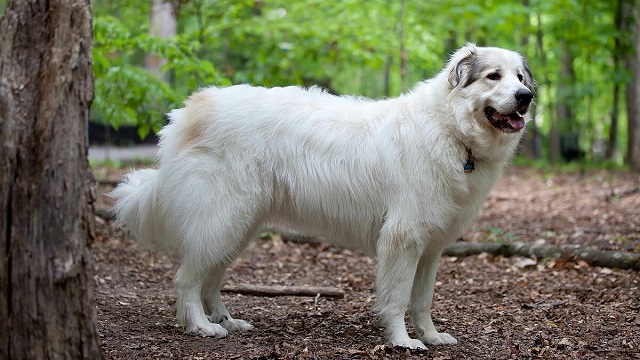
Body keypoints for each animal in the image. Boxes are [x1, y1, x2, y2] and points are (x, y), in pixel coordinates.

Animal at [111, 43, 536, 348]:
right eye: (493, 76)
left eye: (519, 77)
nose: (526, 96)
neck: (452, 130)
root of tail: (190, 110)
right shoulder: (403, 239)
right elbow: (398, 298)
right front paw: (403, 342)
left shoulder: (429, 248)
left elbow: (422, 300)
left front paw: (431, 336)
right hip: (223, 219)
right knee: (186, 279)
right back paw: (201, 326)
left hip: (237, 226)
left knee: (210, 278)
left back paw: (227, 320)